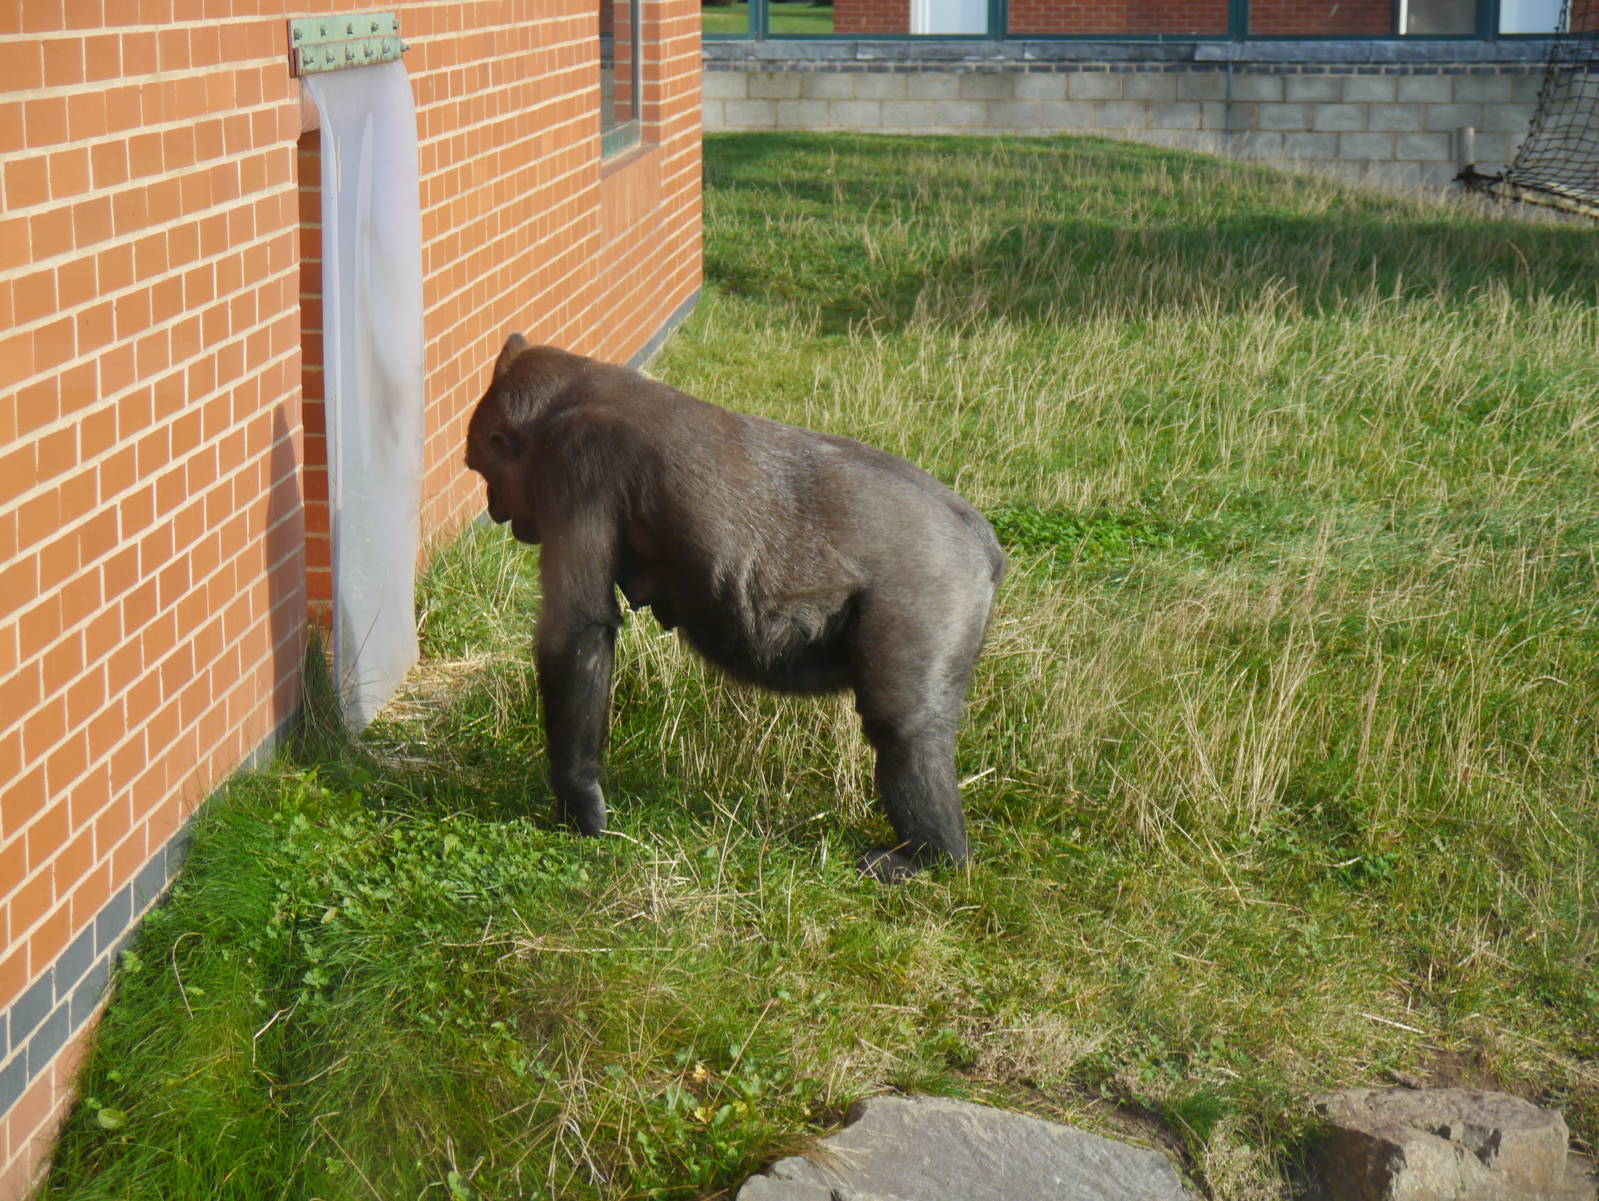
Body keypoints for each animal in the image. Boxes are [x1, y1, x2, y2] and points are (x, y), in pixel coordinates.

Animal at [463, 335, 1005, 880]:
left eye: (483, 470)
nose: (493, 507)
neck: (572, 394)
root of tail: (981, 538)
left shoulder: (575, 463)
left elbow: (578, 628)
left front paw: (578, 800)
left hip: (934, 583)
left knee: (905, 728)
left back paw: (930, 857)